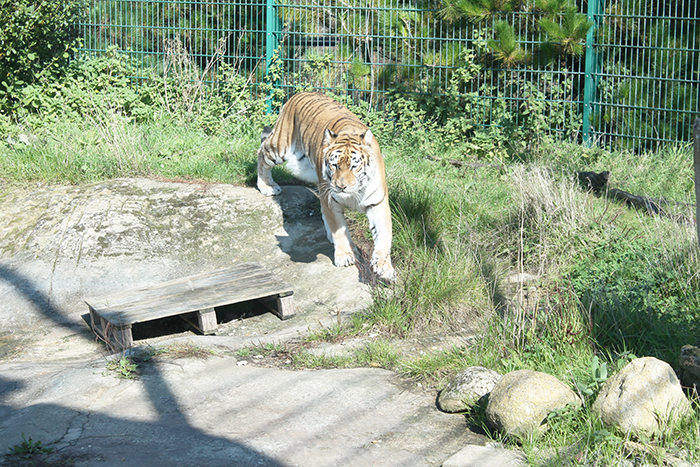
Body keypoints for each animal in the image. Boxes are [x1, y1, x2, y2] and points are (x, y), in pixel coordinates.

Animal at [258, 91, 396, 282]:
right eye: (334, 165)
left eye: (354, 166)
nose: (341, 186)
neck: (355, 192)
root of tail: (300, 92)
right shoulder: (330, 199)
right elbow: (339, 229)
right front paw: (345, 255)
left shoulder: (378, 203)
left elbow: (384, 235)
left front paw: (384, 267)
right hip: (280, 147)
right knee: (261, 153)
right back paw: (266, 186)